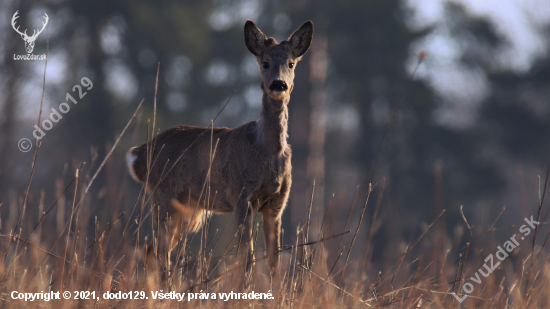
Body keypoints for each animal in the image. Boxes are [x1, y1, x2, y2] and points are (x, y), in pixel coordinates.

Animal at [126, 19, 312, 280]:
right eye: (265, 62)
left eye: (291, 63)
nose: (278, 84)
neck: (267, 151)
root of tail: (138, 156)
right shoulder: (242, 197)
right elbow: (246, 258)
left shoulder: (277, 204)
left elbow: (275, 262)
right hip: (164, 197)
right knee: (159, 252)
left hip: (187, 209)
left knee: (152, 250)